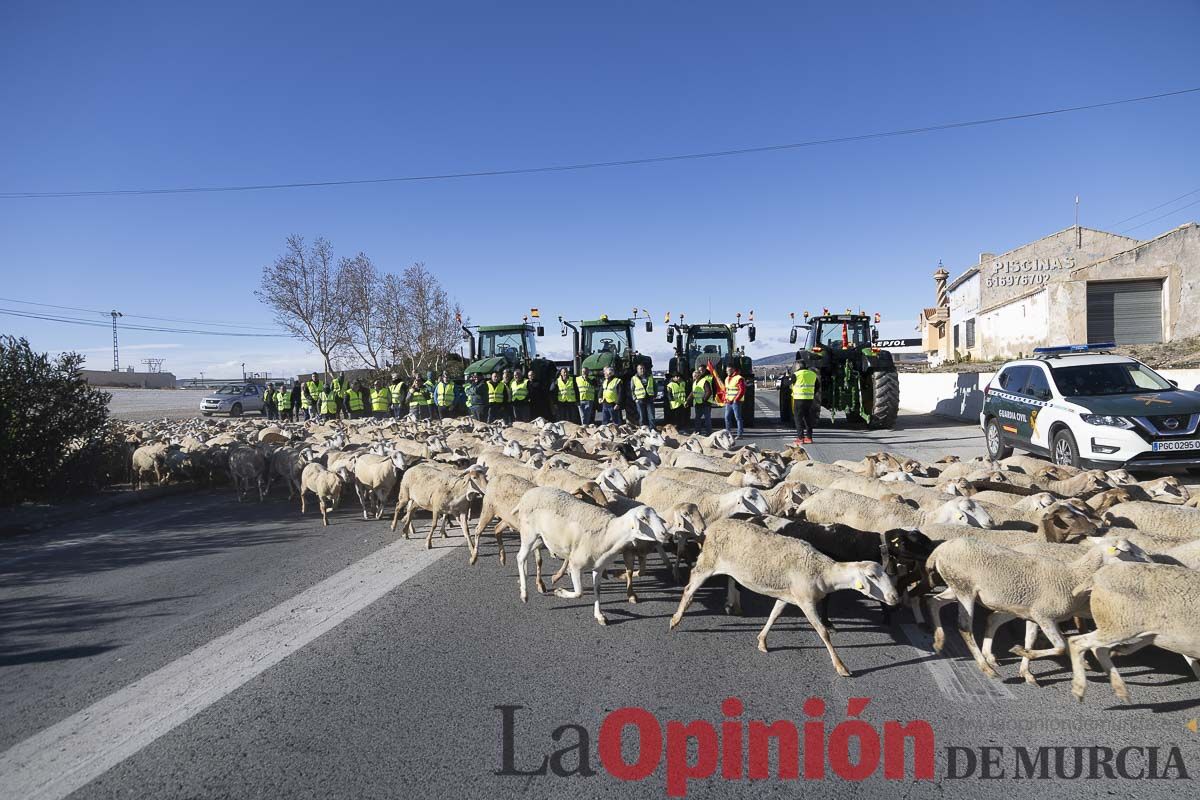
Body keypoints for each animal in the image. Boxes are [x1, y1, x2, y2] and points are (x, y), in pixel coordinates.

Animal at [672, 520, 897, 676]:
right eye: (872, 576)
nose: (894, 597)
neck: (822, 571)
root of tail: (711, 527)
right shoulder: (806, 601)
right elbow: (823, 632)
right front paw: (841, 667)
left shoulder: (788, 596)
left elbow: (774, 615)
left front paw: (762, 641)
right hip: (708, 563)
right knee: (689, 589)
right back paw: (675, 620)